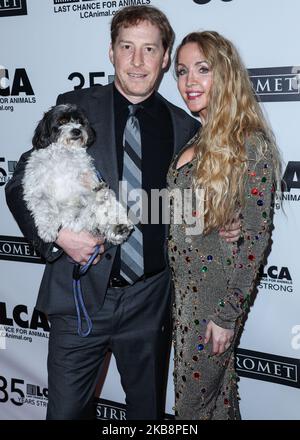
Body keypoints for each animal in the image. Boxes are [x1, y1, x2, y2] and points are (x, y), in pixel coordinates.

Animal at [24, 105, 134, 246]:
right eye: (62, 121)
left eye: (80, 121)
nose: (77, 130)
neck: (64, 153)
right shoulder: (38, 188)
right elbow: (45, 210)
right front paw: (48, 229)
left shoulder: (85, 181)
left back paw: (117, 225)